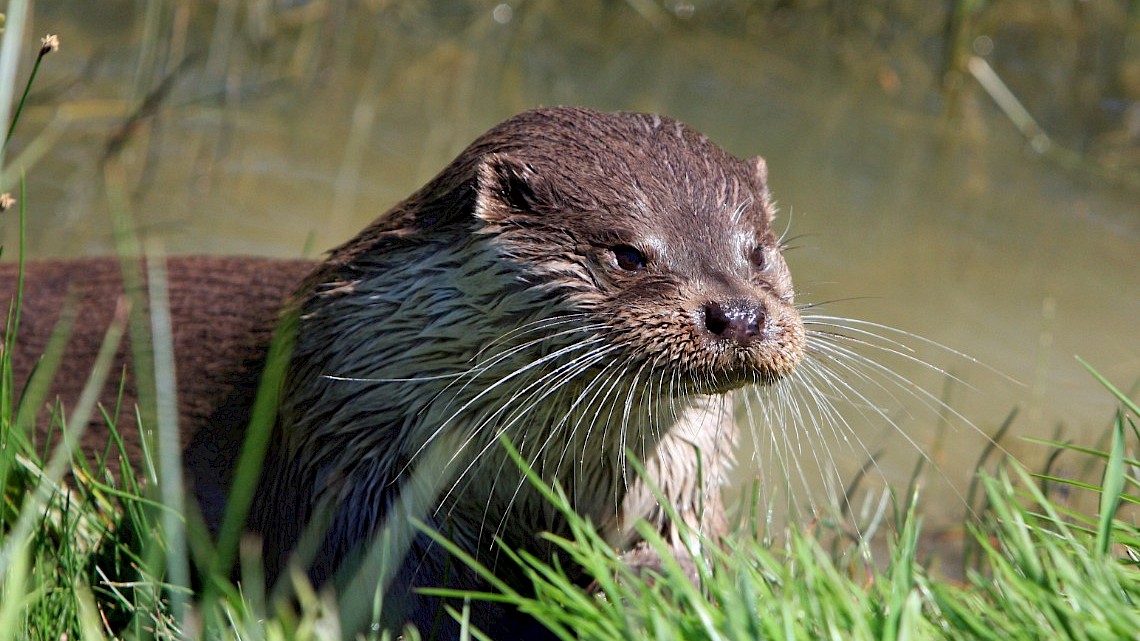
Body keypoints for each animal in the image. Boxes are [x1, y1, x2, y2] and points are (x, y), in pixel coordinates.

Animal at [2, 107, 802, 634]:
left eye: (758, 251)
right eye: (628, 254)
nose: (738, 314)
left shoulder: (680, 475)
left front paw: (655, 587)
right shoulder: (352, 465)